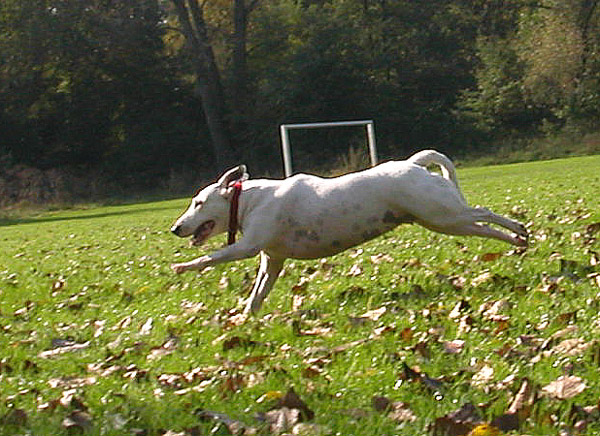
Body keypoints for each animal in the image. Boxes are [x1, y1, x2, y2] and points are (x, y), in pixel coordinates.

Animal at [169, 150, 524, 314]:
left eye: (198, 202)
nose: (175, 228)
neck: (247, 201)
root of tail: (414, 164)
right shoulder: (272, 260)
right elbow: (258, 294)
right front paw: (245, 319)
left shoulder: (248, 246)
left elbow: (212, 258)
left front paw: (183, 266)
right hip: (442, 220)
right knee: (482, 227)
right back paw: (517, 241)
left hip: (442, 214)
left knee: (484, 212)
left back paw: (519, 229)